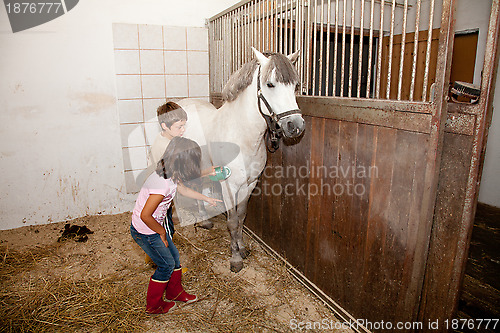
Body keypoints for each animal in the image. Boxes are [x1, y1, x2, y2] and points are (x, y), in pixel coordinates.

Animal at [178, 48, 306, 272]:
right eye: (270, 84)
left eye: (295, 86)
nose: (296, 126)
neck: (242, 137)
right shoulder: (228, 186)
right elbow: (231, 221)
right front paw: (235, 258)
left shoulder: (250, 184)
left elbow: (241, 217)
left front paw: (242, 248)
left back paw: (204, 220)